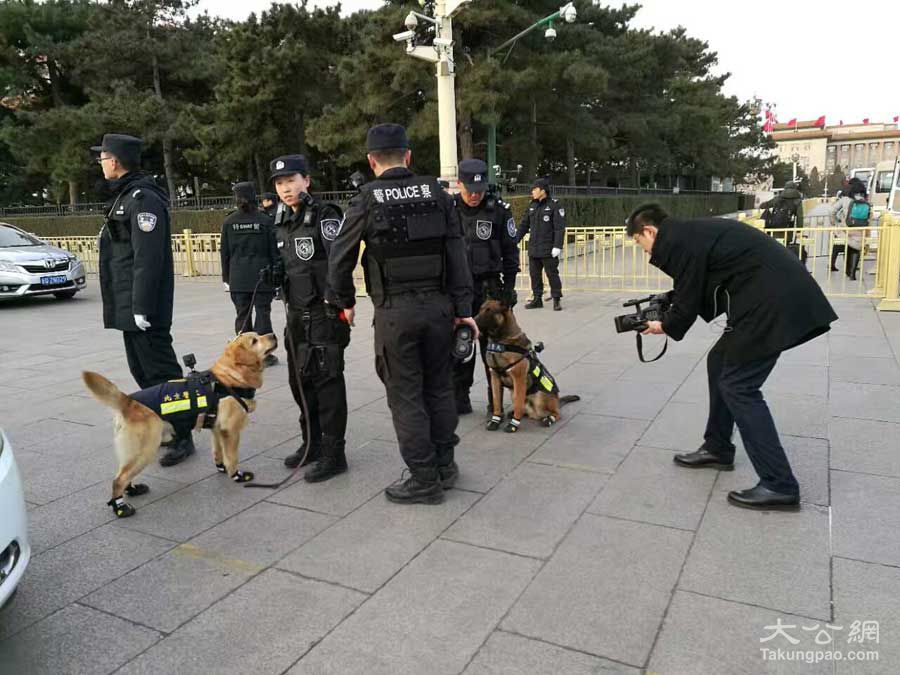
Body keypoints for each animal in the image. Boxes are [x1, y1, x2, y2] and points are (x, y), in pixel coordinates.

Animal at [83, 332, 278, 516]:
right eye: (254, 341)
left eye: (258, 335)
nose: (273, 335)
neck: (229, 378)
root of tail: (128, 402)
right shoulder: (230, 431)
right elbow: (232, 457)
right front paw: (237, 475)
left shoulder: (217, 429)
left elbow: (218, 453)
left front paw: (221, 467)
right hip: (145, 449)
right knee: (119, 479)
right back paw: (121, 508)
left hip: (134, 451)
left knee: (122, 473)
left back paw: (133, 490)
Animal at [474, 300, 580, 434]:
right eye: (480, 309)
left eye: (489, 311)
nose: (473, 319)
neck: (502, 340)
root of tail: (557, 401)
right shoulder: (495, 378)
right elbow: (497, 402)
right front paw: (495, 421)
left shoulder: (519, 379)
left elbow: (518, 403)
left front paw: (513, 425)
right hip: (514, 392)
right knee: (525, 409)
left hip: (539, 397)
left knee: (556, 413)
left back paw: (548, 419)